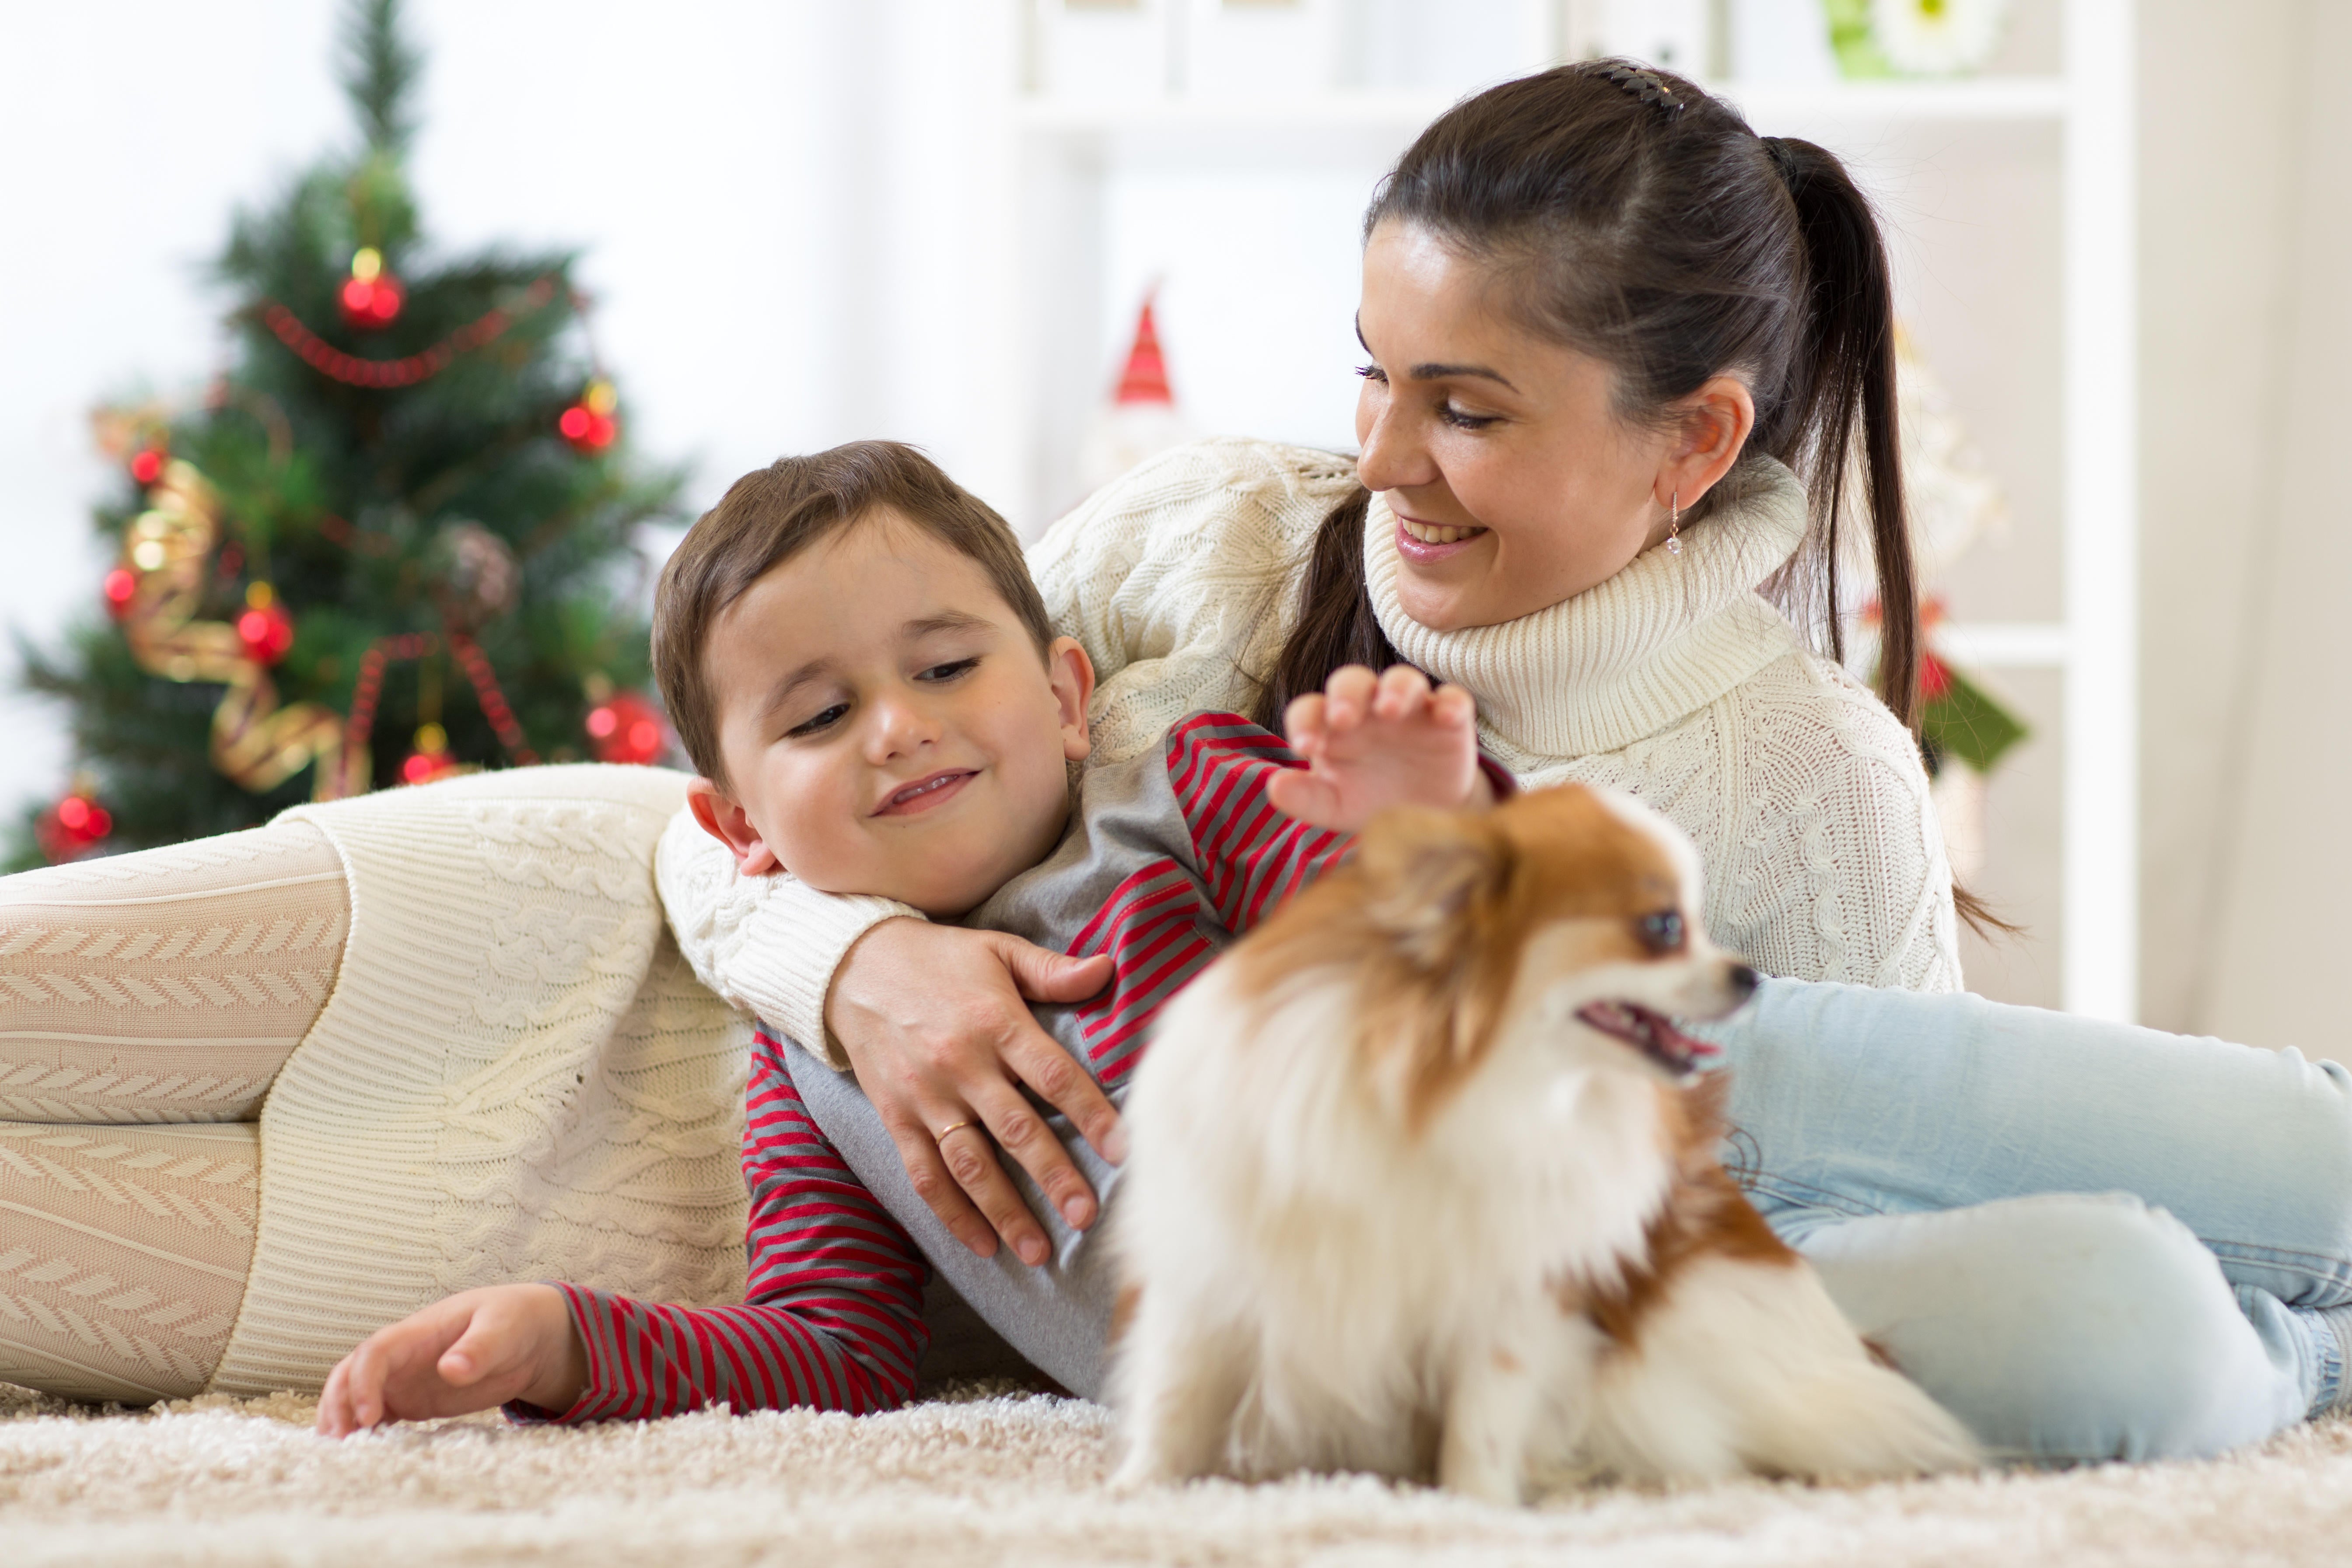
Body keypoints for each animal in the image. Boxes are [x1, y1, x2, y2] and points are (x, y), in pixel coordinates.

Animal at [1110, 785, 1975, 1495]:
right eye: (1664, 926)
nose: (1748, 975)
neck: (1456, 1095)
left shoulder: (1516, 1293)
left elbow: (1482, 1422)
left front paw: (1476, 1507)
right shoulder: (1218, 1262)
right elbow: (1176, 1394)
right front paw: (1141, 1492)